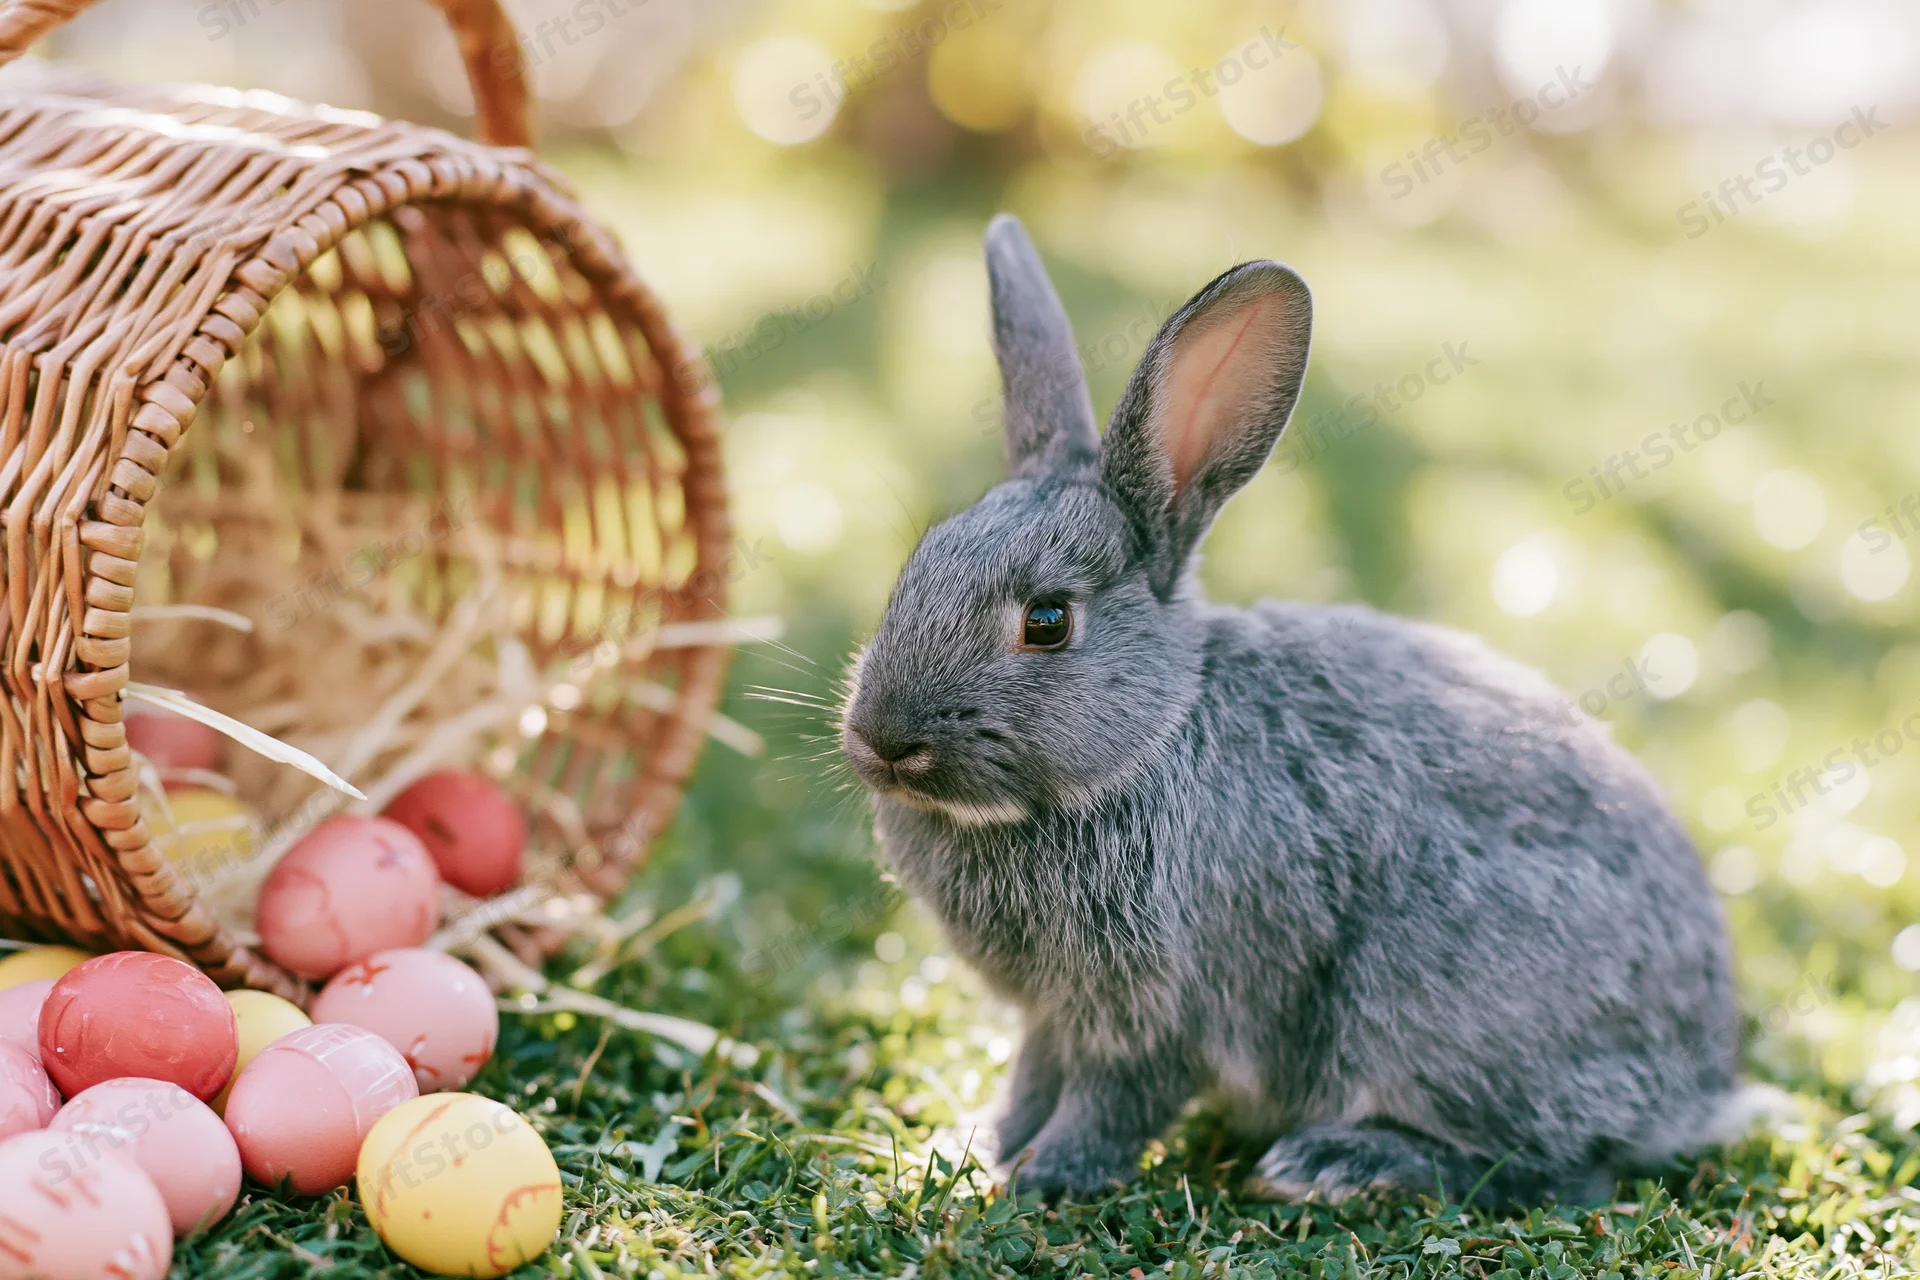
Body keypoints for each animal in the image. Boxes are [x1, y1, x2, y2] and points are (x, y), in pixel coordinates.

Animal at [838, 213, 1747, 1204]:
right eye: (914, 568)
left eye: (1046, 622)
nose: (882, 740)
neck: (1154, 737)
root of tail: (1699, 1087)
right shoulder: (1056, 1014)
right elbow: (1033, 1076)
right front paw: (978, 1149)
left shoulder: (1166, 1008)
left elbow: (1114, 1101)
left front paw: (1048, 1176)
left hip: (1429, 1005)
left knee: (1555, 1168)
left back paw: (1338, 1162)